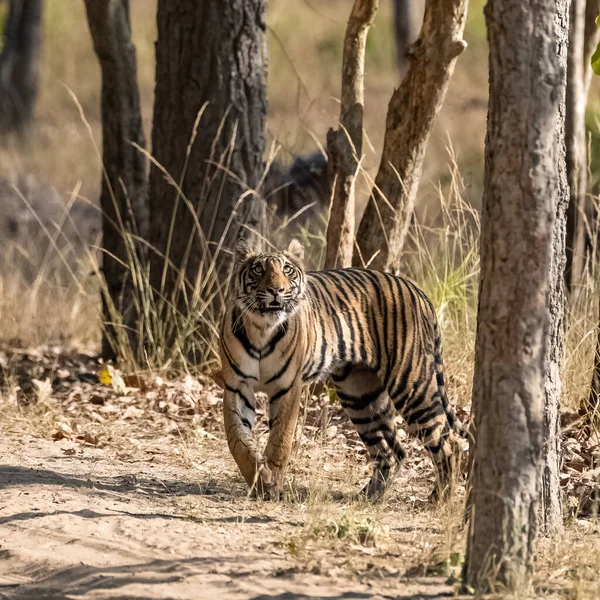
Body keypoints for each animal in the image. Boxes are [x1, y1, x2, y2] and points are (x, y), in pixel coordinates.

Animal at [221, 237, 464, 500]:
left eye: (287, 270)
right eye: (258, 269)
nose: (277, 290)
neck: (261, 330)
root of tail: (417, 290)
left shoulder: (288, 389)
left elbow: (280, 440)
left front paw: (271, 484)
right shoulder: (237, 386)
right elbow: (237, 440)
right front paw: (259, 480)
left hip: (411, 385)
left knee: (449, 442)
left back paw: (439, 499)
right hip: (360, 396)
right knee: (392, 450)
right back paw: (368, 497)